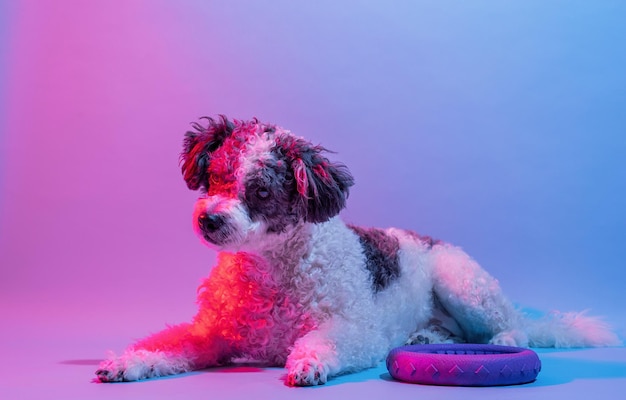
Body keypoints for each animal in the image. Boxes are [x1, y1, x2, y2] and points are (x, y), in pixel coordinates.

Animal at [94, 115, 620, 384]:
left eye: (260, 191)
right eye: (217, 176)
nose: (209, 219)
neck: (271, 269)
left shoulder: (355, 333)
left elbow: (321, 342)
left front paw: (307, 362)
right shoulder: (212, 335)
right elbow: (170, 344)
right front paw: (127, 361)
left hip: (462, 282)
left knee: (514, 329)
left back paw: (502, 340)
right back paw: (425, 337)